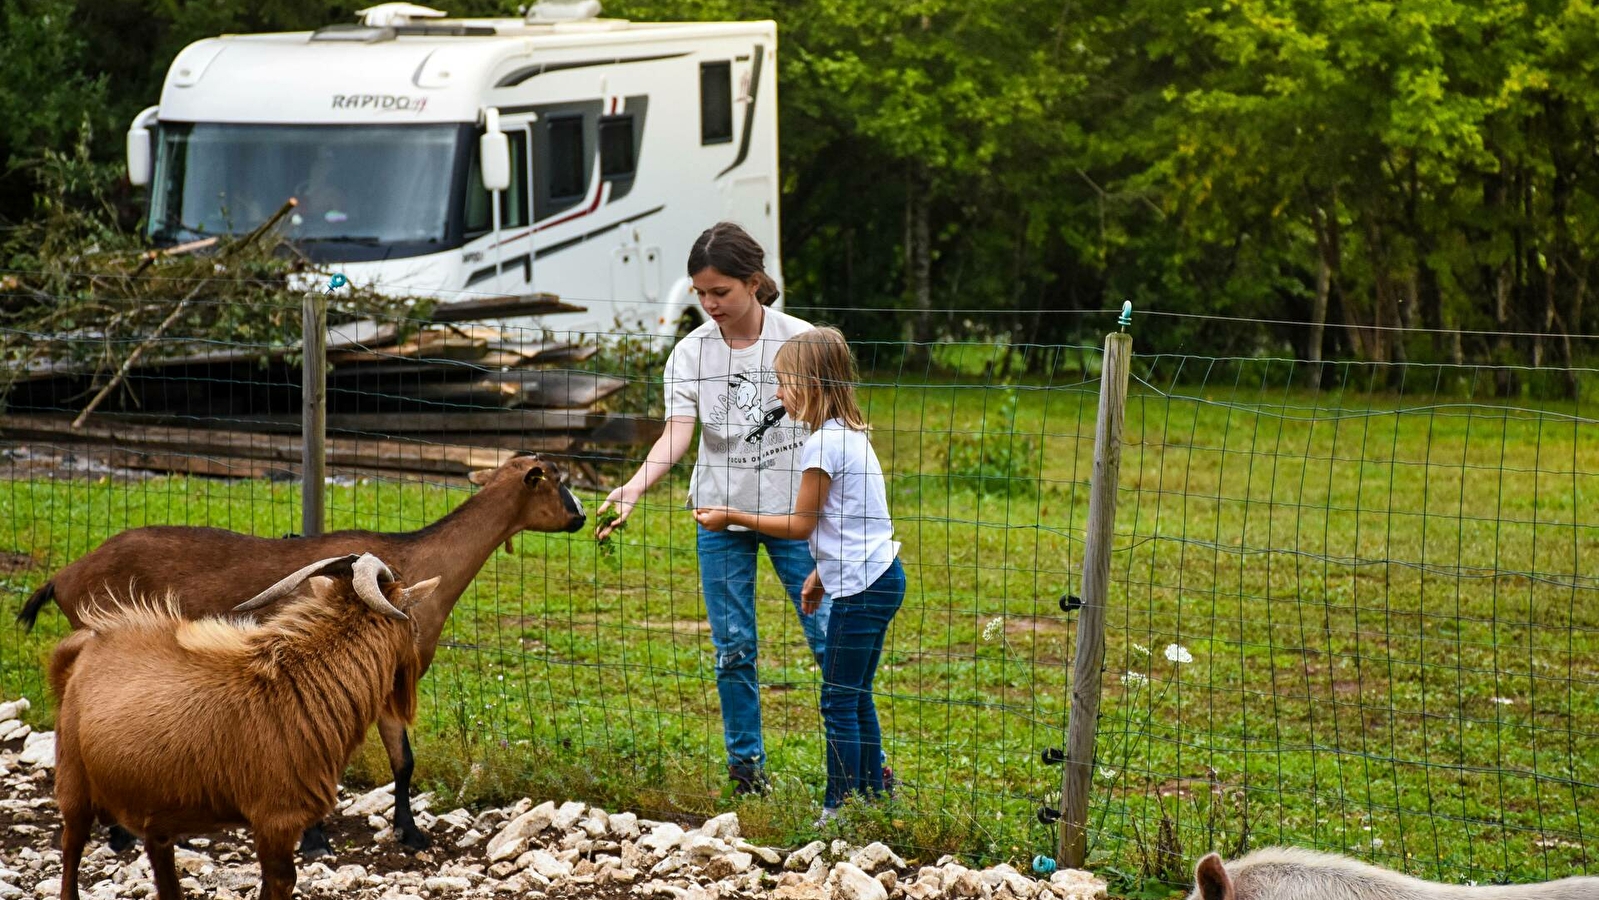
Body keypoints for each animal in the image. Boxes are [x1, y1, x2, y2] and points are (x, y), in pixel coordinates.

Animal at [18, 453, 585, 856]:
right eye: (556, 481)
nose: (580, 518)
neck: (419, 561)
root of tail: (63, 576)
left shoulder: (387, 683)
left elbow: (403, 762)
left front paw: (410, 834)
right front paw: (315, 841)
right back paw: (119, 836)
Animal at [52, 553, 438, 895]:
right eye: (411, 617)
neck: (298, 683)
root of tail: (88, 646)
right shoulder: (277, 820)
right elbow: (280, 883)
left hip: (154, 814)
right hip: (74, 782)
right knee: (71, 847)